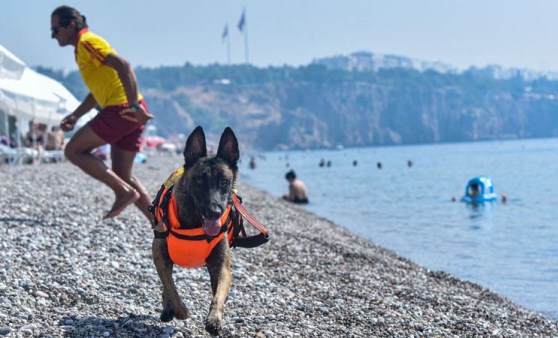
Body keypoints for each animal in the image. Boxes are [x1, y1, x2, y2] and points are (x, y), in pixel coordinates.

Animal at [151, 125, 241, 334]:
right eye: (200, 180)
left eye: (224, 182)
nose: (215, 212)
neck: (194, 224)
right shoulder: (159, 254)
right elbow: (170, 287)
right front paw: (181, 311)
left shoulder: (222, 266)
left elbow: (218, 296)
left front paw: (214, 319)